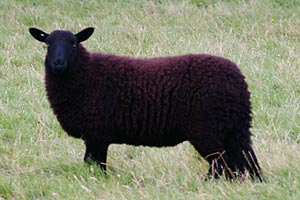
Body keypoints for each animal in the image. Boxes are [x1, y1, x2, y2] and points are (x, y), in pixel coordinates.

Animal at [28, 27, 262, 181]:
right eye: (47, 44)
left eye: (73, 43)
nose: (58, 63)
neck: (86, 74)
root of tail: (238, 80)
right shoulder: (96, 136)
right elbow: (95, 163)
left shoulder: (96, 134)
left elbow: (94, 164)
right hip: (234, 129)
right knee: (245, 160)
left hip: (208, 130)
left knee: (221, 163)